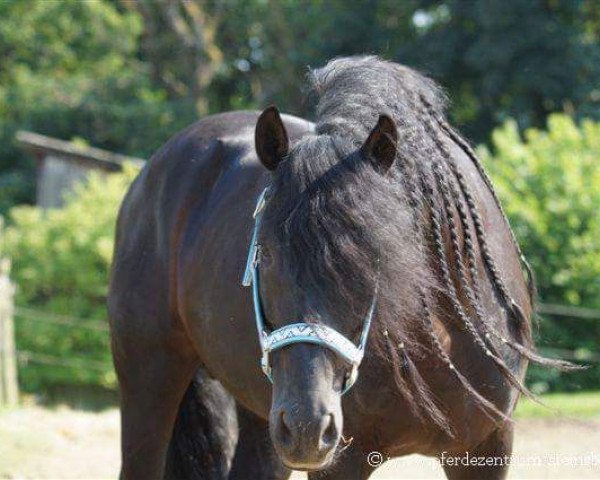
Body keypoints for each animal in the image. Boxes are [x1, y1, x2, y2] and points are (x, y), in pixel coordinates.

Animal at [109, 57, 572, 480]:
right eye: (264, 254)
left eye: (372, 256)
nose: (306, 427)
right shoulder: (342, 459)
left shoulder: (487, 447)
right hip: (152, 382)